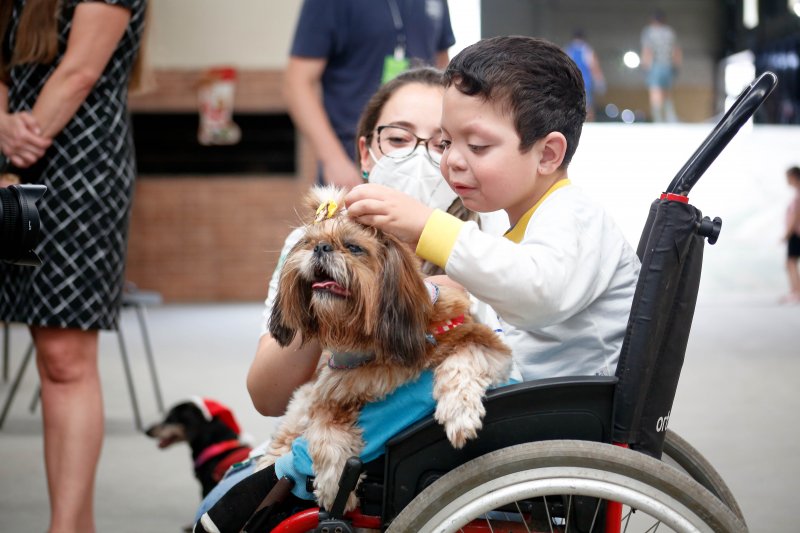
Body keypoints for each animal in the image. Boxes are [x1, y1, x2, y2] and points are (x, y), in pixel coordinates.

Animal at [258, 186, 513, 512]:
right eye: (309, 243)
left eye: (353, 247)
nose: (321, 248)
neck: (373, 344)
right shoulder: (327, 395)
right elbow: (325, 437)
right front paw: (334, 486)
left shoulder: (487, 346)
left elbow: (461, 363)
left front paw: (459, 414)